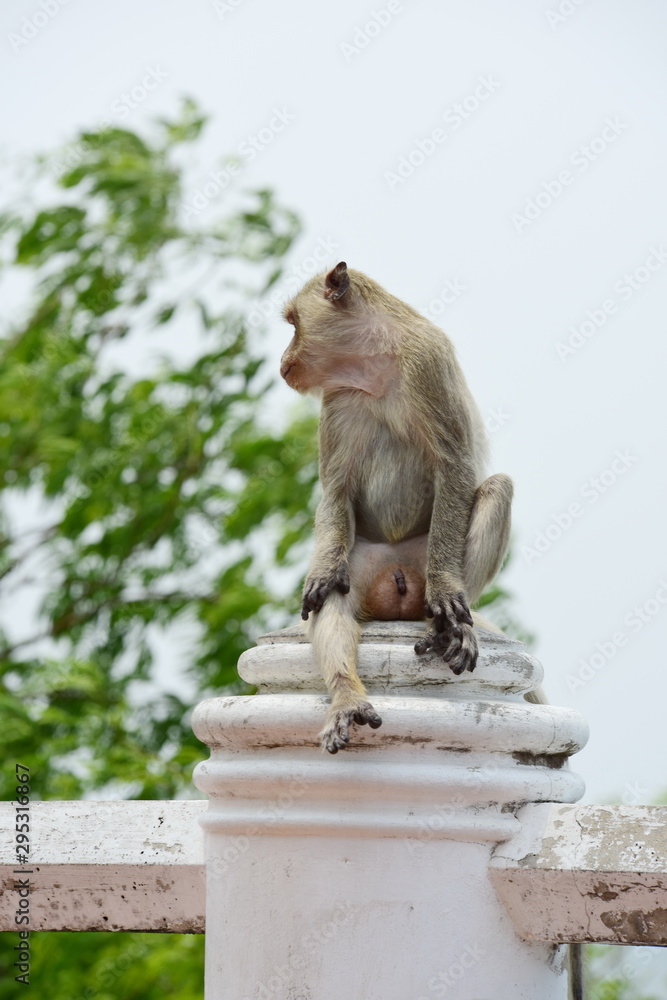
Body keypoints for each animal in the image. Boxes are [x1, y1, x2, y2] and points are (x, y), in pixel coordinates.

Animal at [280, 262, 513, 755]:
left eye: (293, 324)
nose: (282, 359)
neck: (376, 365)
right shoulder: (337, 397)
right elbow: (335, 490)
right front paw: (323, 572)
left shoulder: (429, 362)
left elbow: (455, 464)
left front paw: (446, 592)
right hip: (365, 563)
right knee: (333, 598)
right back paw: (347, 696)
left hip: (425, 557)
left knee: (497, 489)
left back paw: (449, 627)